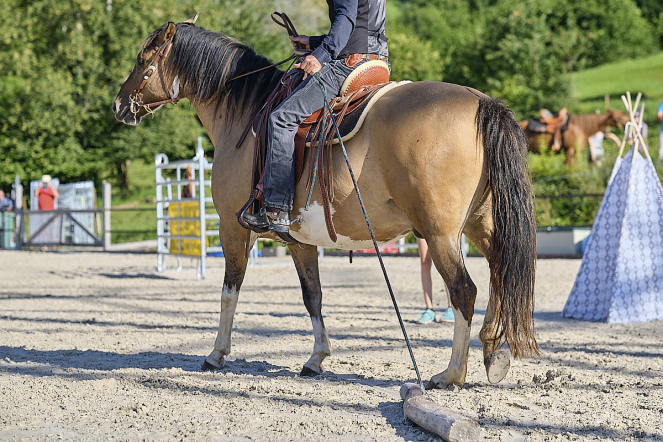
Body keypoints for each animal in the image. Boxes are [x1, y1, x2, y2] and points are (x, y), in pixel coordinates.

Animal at [113, 17, 540, 388]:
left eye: (142, 59)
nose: (118, 104)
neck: (248, 116)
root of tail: (482, 102)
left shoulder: (231, 228)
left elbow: (229, 291)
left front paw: (217, 353)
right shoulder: (299, 240)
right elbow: (313, 296)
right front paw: (316, 358)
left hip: (440, 234)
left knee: (464, 290)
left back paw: (451, 373)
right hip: (481, 225)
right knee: (501, 270)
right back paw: (492, 352)